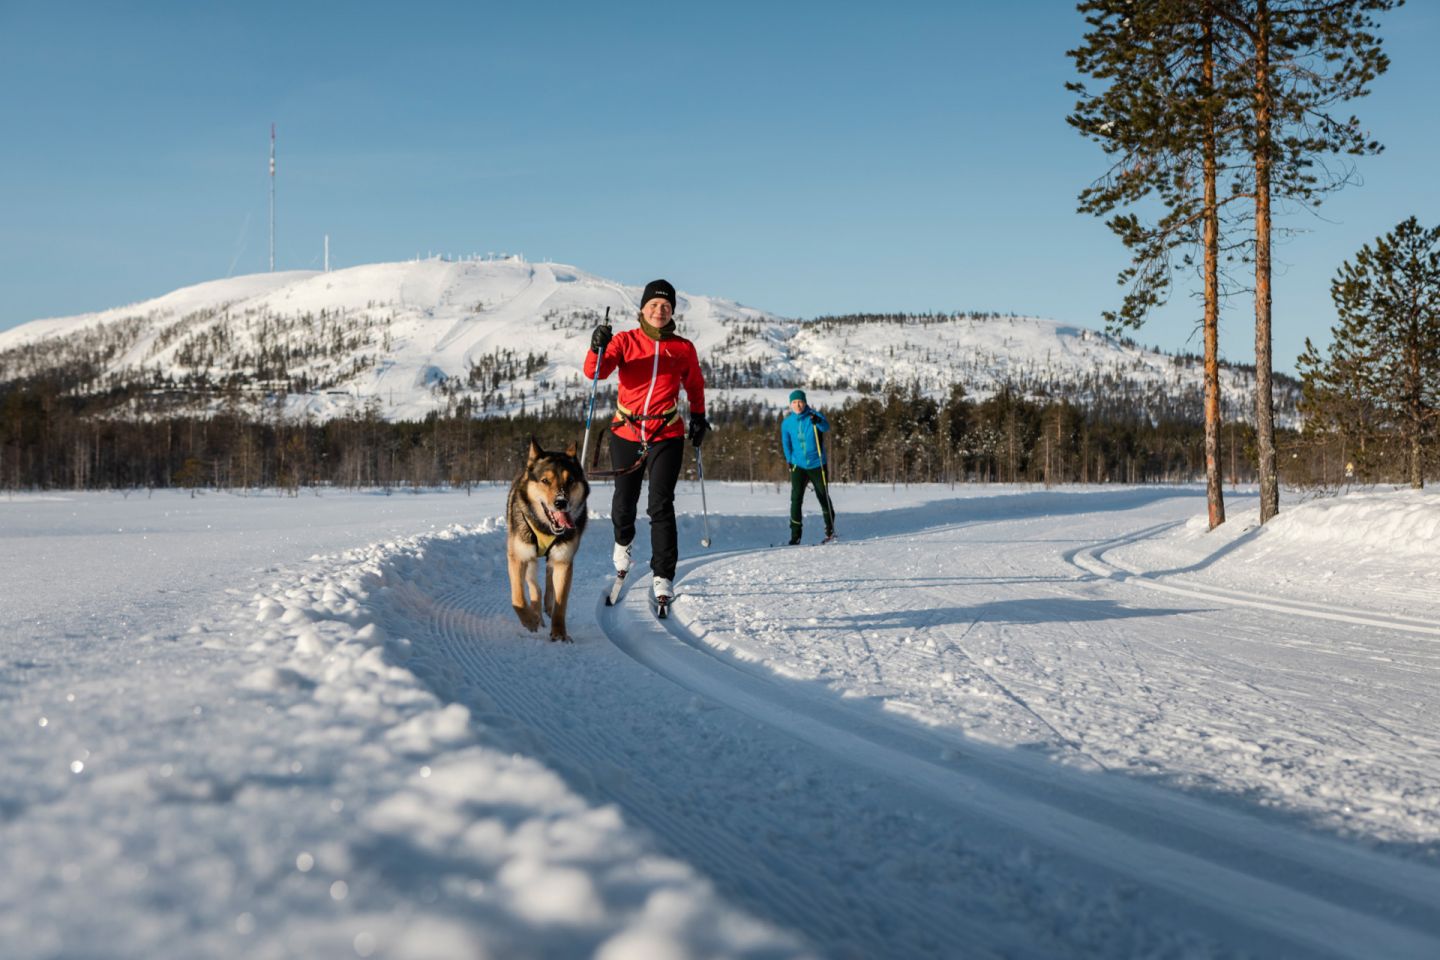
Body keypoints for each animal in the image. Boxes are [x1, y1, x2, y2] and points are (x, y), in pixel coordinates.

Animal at [504, 440, 587, 641]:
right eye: (545, 481)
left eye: (570, 480)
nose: (561, 502)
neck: (545, 528)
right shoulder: (518, 557)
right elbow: (517, 597)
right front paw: (529, 620)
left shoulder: (564, 560)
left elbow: (561, 603)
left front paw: (559, 634)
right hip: (530, 559)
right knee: (535, 587)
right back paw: (536, 614)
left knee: (549, 580)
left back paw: (547, 607)